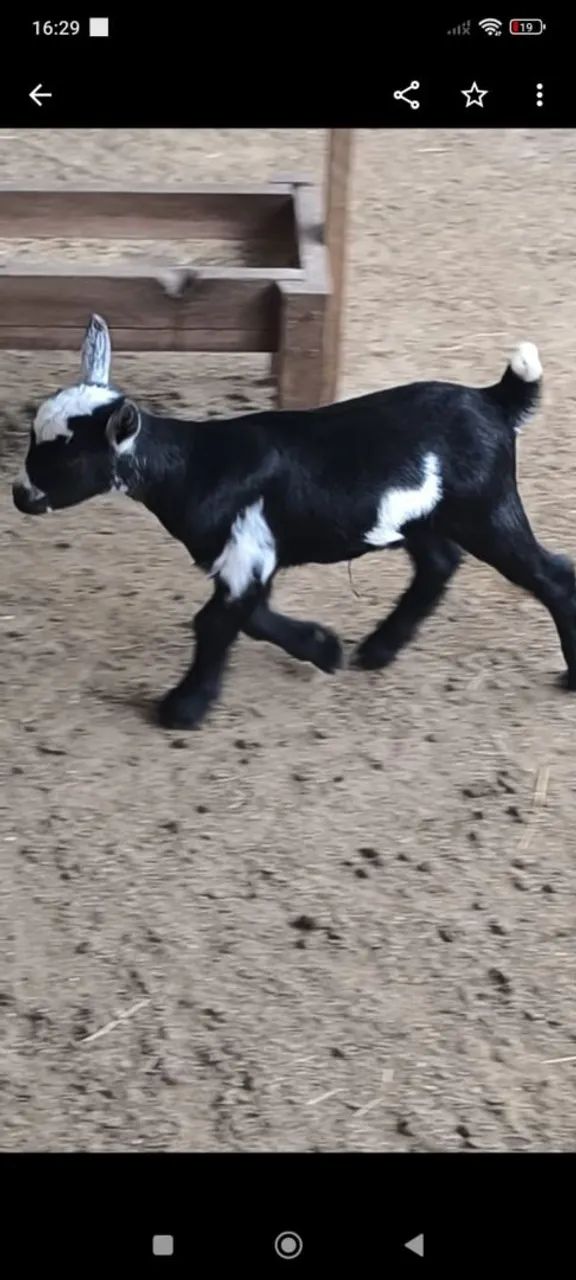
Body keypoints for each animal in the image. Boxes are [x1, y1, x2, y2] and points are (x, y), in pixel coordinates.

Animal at [12, 315, 576, 730]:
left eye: (65, 457)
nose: (20, 494)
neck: (195, 465)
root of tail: (492, 399)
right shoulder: (247, 558)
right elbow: (253, 618)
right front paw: (324, 648)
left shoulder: (246, 553)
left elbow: (217, 622)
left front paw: (182, 709)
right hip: (424, 517)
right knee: (439, 562)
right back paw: (378, 649)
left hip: (487, 508)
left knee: (552, 576)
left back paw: (569, 677)